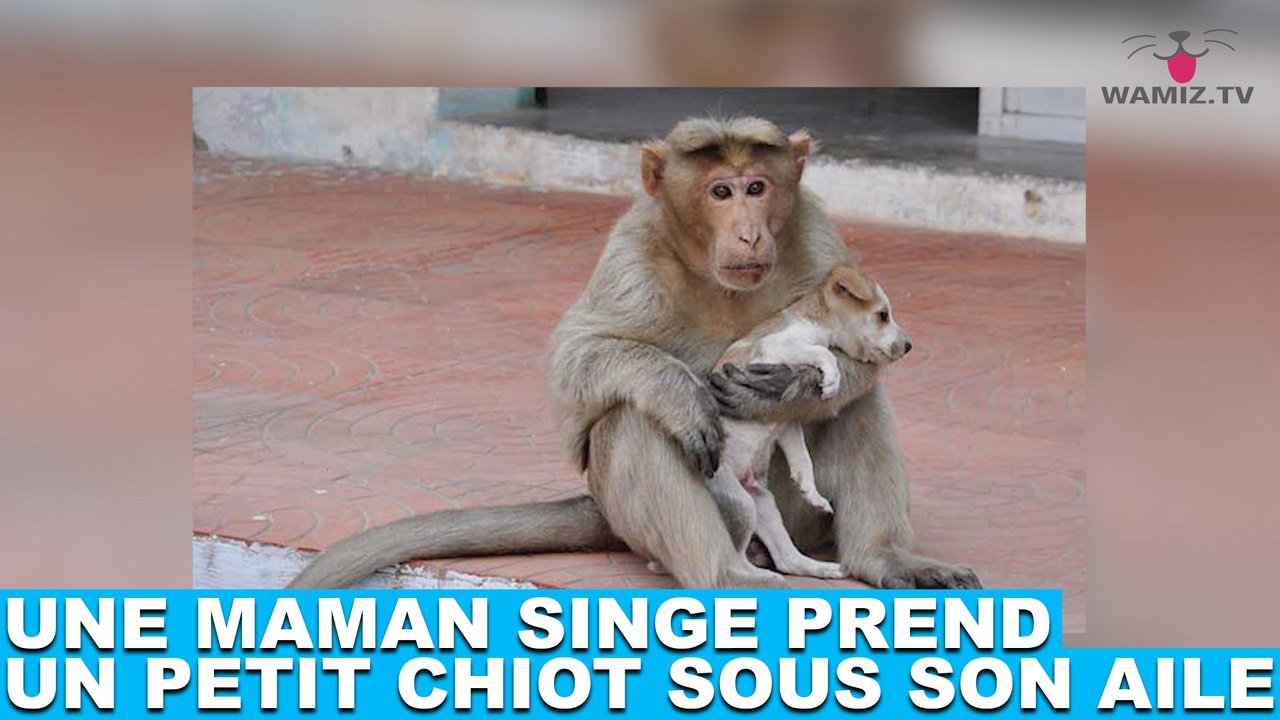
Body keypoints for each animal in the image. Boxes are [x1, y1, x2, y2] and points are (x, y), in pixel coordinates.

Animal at [287, 116, 980, 591]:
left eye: (758, 186)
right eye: (721, 193)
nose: (749, 232)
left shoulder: (817, 232)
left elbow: (847, 378)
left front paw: (793, 389)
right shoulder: (632, 251)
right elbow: (578, 359)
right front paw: (689, 392)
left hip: (781, 510)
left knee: (857, 409)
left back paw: (876, 559)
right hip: (676, 508)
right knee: (633, 420)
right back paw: (729, 575)